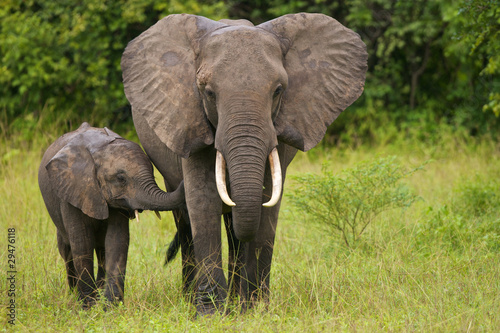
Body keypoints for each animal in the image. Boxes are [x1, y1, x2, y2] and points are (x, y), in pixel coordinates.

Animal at [38, 122, 185, 306]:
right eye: (121, 178)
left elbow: (117, 240)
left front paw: (111, 306)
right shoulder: (72, 190)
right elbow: (82, 242)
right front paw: (88, 306)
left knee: (101, 251)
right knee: (67, 250)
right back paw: (73, 294)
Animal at [122, 13, 368, 314]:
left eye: (278, 91)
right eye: (208, 93)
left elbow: (267, 203)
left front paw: (257, 309)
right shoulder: (190, 119)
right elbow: (202, 201)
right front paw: (209, 313)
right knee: (187, 221)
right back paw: (194, 299)